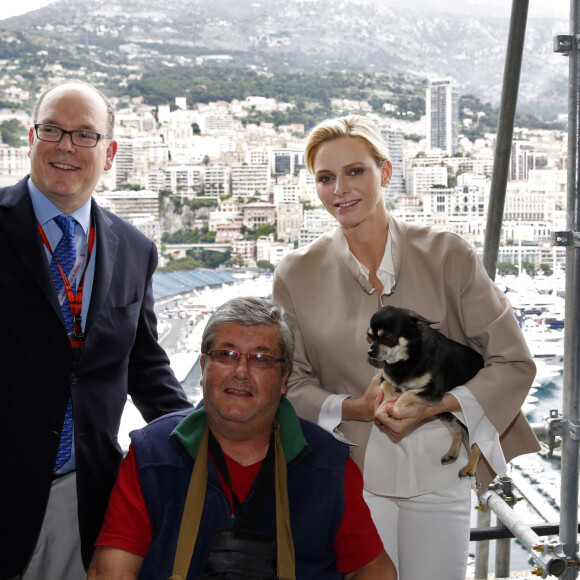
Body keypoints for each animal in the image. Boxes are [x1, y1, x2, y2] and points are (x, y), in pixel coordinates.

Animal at [368, 306, 484, 478]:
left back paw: (469, 467)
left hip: (469, 418)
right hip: (446, 414)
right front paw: (386, 403)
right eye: (370, 336)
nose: (370, 352)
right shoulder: (385, 378)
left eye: (387, 337)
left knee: (477, 444)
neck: (404, 362)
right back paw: (452, 454)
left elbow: (409, 393)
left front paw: (394, 408)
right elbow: (386, 388)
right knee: (458, 432)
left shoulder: (434, 391)